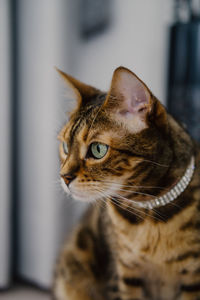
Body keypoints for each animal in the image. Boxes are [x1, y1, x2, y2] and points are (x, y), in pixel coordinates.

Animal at [52, 66, 200, 300]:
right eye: (66, 147)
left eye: (98, 149)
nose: (64, 176)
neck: (150, 213)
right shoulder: (122, 274)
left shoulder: (193, 279)